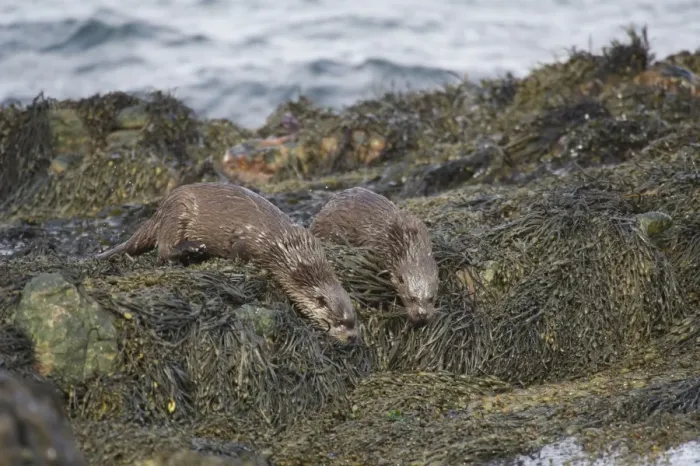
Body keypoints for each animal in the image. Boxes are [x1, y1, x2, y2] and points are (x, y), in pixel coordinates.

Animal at [95, 182, 359, 343]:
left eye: (353, 321)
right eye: (339, 321)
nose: (353, 337)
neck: (289, 250)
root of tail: (160, 210)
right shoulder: (249, 240)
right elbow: (238, 252)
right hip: (178, 213)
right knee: (164, 249)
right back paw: (192, 249)